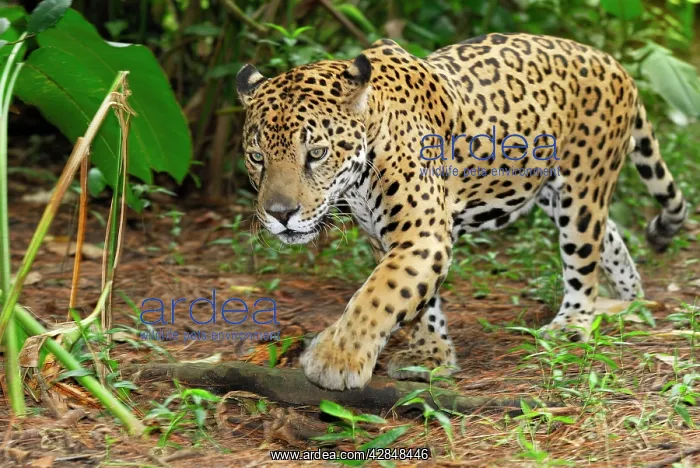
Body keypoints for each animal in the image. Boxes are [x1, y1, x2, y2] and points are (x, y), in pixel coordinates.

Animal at [235, 33, 688, 391]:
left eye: (316, 153)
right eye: (257, 158)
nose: (280, 214)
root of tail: (613, 62)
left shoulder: (421, 234)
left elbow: (379, 293)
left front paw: (337, 358)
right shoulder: (391, 237)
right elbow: (417, 299)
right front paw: (430, 354)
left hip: (582, 186)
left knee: (583, 255)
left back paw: (574, 322)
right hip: (552, 192)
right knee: (607, 237)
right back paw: (627, 304)